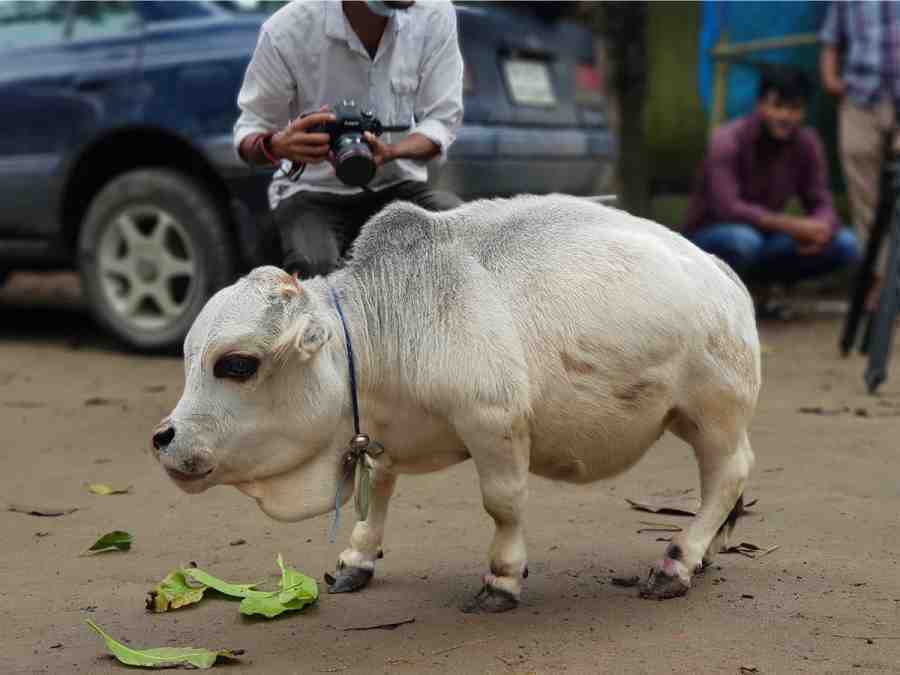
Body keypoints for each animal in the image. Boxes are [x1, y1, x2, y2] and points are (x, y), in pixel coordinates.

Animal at [151, 194, 760, 613]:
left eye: (236, 364)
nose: (163, 438)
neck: (381, 332)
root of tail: (720, 270)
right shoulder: (382, 437)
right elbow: (379, 495)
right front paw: (357, 558)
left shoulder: (494, 423)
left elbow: (503, 504)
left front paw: (502, 578)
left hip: (714, 411)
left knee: (728, 474)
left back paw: (678, 561)